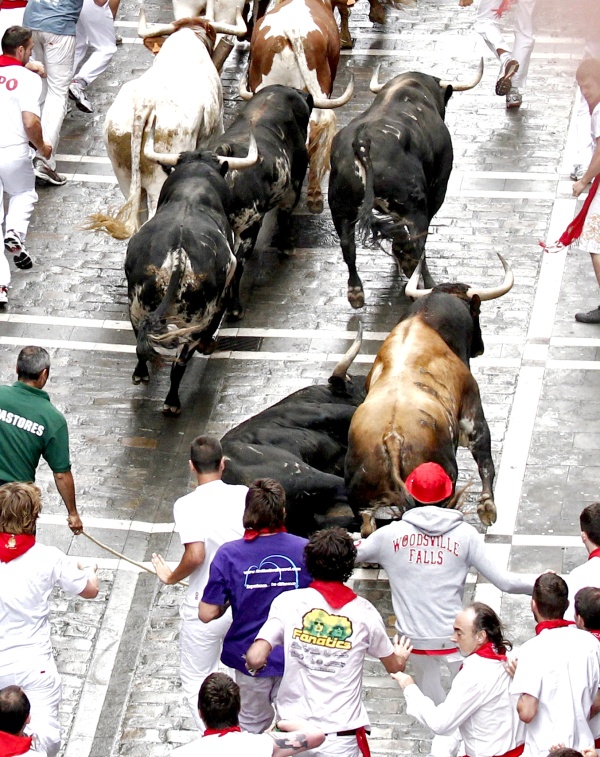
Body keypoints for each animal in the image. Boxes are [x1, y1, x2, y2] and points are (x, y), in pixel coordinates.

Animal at [328, 62, 482, 308]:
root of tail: (362, 142)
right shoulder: (437, 189)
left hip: (340, 207)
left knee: (347, 245)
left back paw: (356, 292)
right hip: (414, 207)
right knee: (420, 243)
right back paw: (426, 282)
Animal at [344, 251, 512, 528]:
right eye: (476, 313)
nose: (480, 347)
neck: (424, 322)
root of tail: (392, 438)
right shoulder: (472, 411)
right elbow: (485, 460)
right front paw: (487, 507)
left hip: (362, 504)